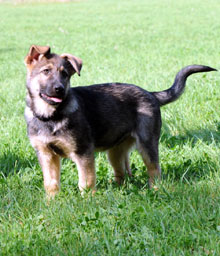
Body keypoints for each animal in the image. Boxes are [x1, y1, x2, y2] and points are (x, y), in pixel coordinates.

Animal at [24, 44, 215, 196]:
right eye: (46, 71)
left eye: (65, 74)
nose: (60, 89)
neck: (50, 116)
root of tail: (150, 93)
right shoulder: (46, 154)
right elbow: (51, 183)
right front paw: (51, 202)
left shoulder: (83, 152)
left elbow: (85, 182)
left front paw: (87, 202)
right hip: (115, 151)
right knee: (121, 173)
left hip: (147, 143)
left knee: (154, 170)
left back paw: (155, 190)